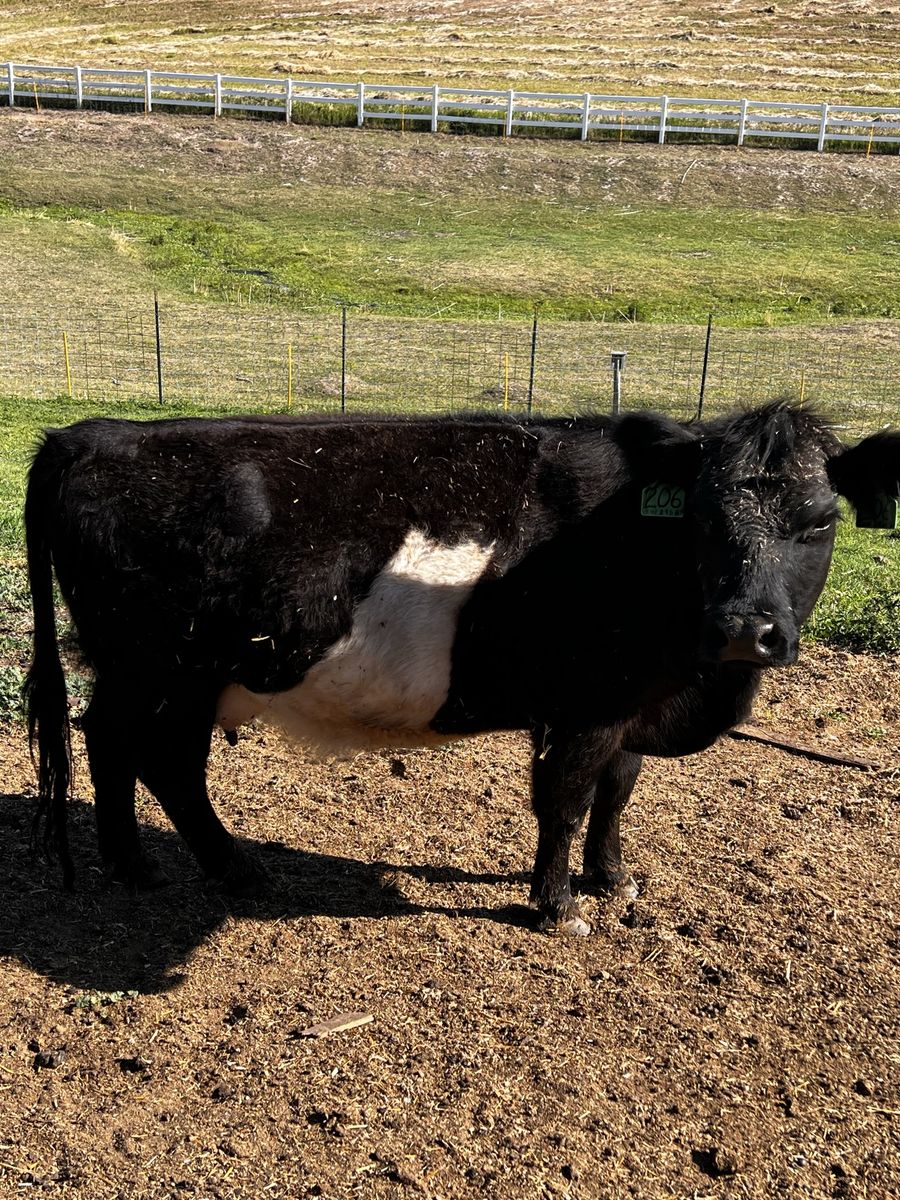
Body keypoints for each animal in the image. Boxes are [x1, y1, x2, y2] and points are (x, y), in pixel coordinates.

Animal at [23, 402, 900, 934]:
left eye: (820, 522)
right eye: (704, 520)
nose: (745, 629)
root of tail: (95, 433)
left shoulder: (629, 707)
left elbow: (616, 794)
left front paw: (612, 879)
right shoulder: (585, 706)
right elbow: (566, 802)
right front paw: (556, 908)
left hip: (156, 675)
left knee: (116, 746)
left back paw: (139, 865)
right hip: (164, 672)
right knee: (156, 759)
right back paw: (221, 869)